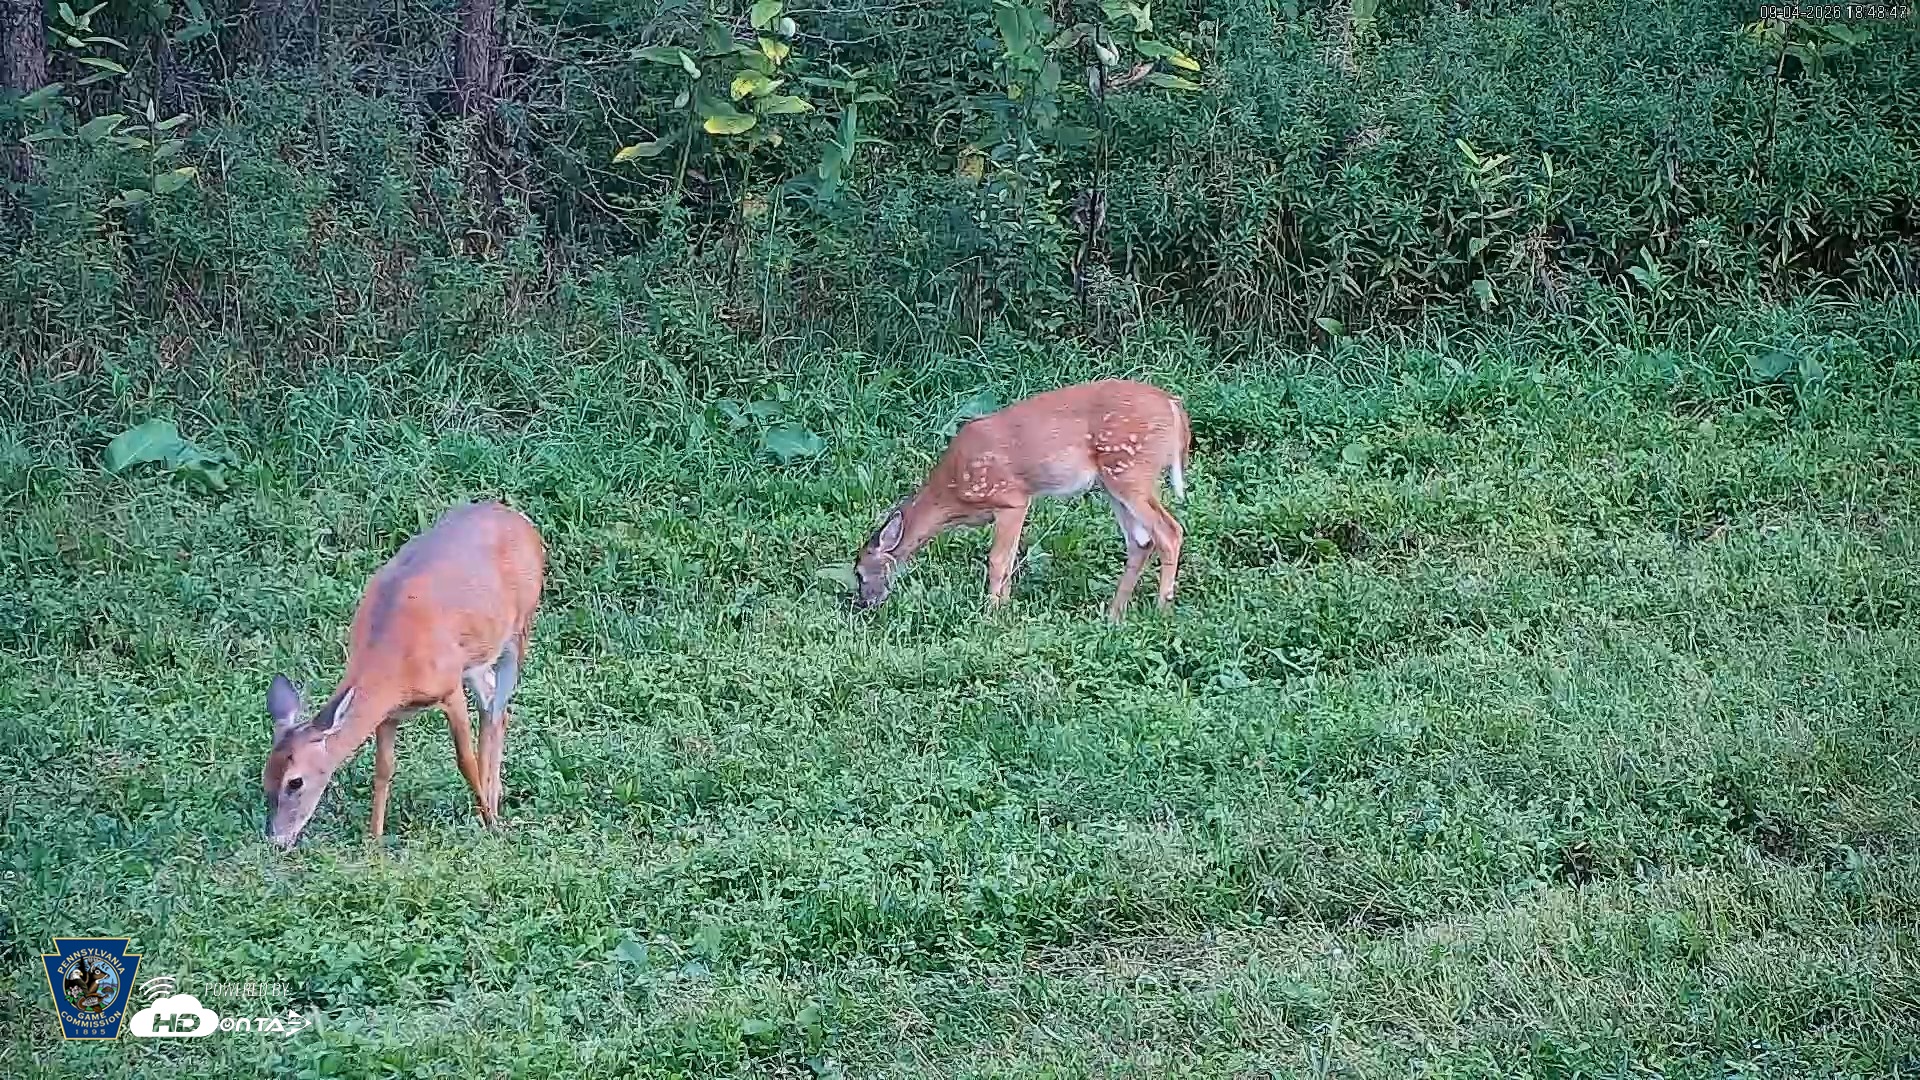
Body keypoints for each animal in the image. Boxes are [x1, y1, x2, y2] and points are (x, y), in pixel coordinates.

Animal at [262, 501, 545, 849]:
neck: (394, 666)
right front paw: (374, 839)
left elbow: (463, 760)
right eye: (266, 778)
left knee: (498, 708)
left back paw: (492, 807)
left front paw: (490, 824)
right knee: (492, 705)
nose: (277, 840)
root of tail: (521, 522)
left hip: (520, 629)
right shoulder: (388, 714)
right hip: (478, 655)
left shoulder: (449, 688)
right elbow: (384, 768)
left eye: (295, 782)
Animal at [852, 378, 1191, 621]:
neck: (954, 495)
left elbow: (998, 561)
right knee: (1141, 541)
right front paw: (1004, 609)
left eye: (858, 572)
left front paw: (991, 613)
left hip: (1131, 470)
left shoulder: (1011, 498)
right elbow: (1012, 558)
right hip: (1113, 483)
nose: (863, 606)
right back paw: (1113, 614)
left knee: (1169, 531)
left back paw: (1161, 610)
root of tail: (1174, 407)